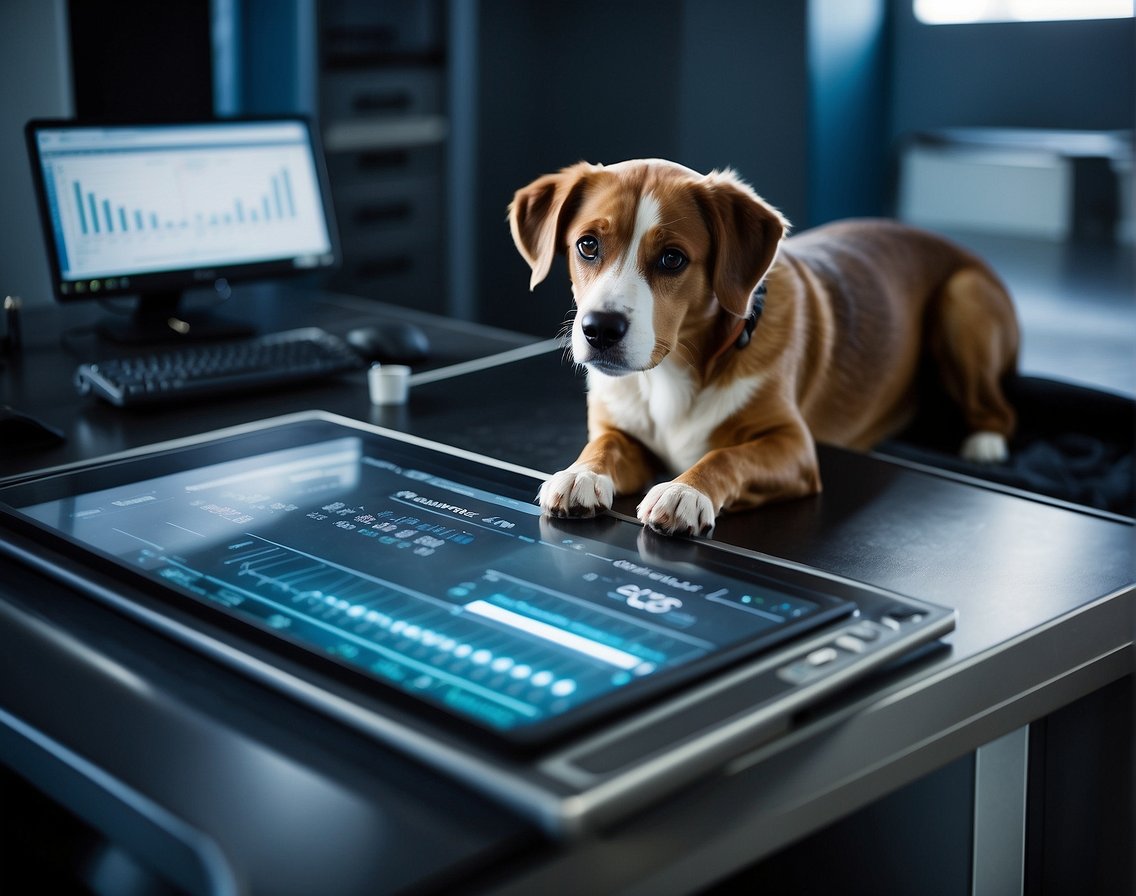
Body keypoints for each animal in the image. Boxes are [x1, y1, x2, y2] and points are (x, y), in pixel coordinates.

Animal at [508, 157, 1022, 533]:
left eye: (672, 259)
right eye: (588, 245)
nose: (600, 329)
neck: (673, 373)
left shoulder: (793, 448)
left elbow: (727, 455)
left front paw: (685, 491)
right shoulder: (619, 428)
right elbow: (604, 447)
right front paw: (581, 474)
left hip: (963, 298)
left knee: (1000, 410)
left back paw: (984, 444)